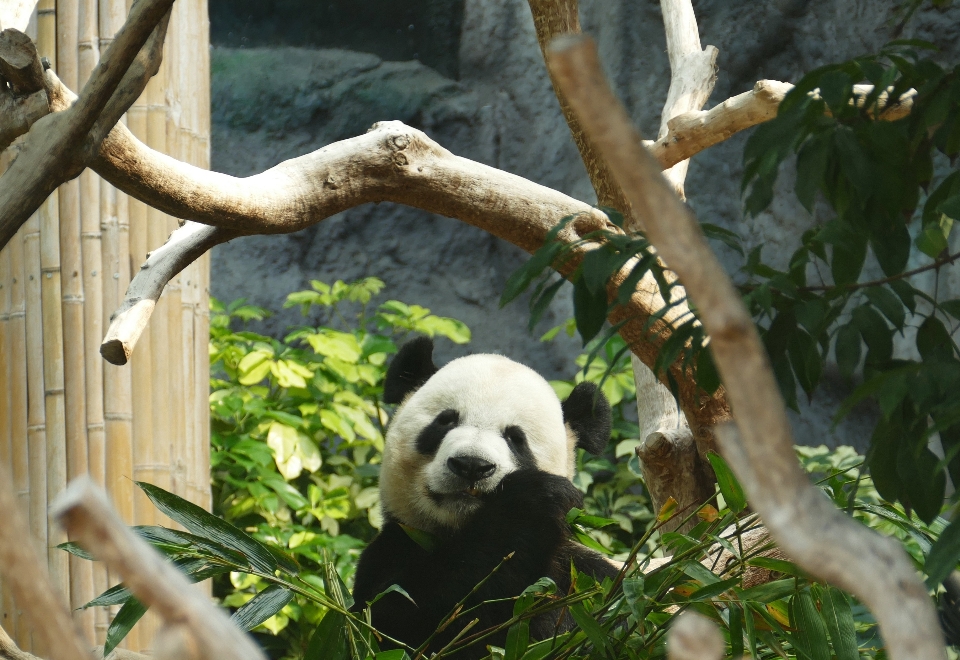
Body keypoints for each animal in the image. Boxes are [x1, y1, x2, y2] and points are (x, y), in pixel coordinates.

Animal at [354, 338, 624, 656]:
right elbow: (403, 621)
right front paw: (531, 501)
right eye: (445, 421)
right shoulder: (393, 550)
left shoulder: (583, 574)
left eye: (516, 438)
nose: (471, 465)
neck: (462, 528)